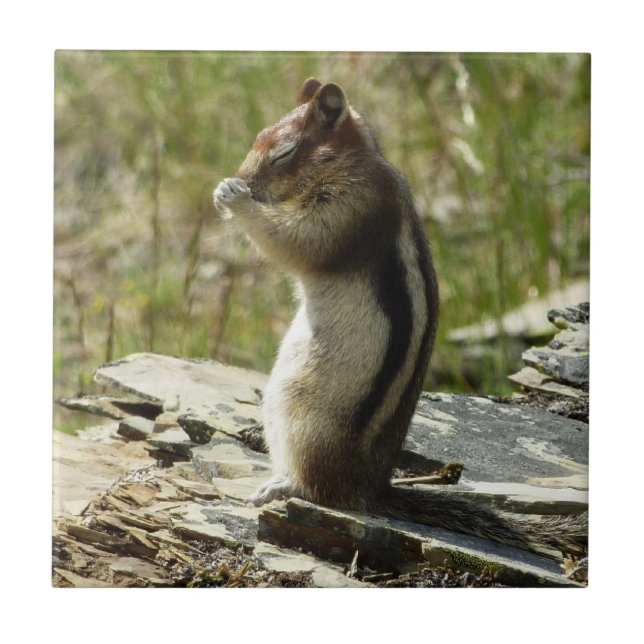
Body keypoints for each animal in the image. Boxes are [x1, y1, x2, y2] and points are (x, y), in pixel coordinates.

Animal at [214, 78, 587, 556]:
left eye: (283, 153)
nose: (243, 179)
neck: (350, 164)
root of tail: (371, 490)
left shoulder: (350, 207)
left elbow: (299, 240)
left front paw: (234, 198)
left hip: (298, 417)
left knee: (318, 489)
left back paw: (280, 486)